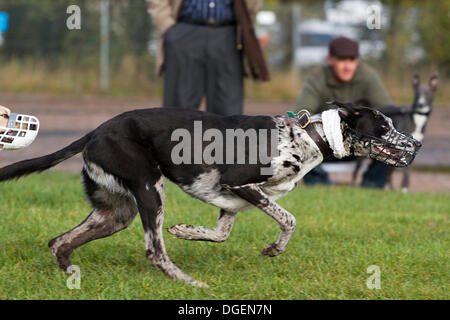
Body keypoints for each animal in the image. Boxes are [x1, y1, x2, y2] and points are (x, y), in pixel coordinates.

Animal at [0, 101, 422, 286]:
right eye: (384, 127)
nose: (417, 143)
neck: (306, 137)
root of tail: (94, 131)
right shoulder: (241, 184)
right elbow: (288, 219)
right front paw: (275, 248)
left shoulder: (230, 200)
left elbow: (220, 234)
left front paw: (188, 231)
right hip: (150, 190)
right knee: (154, 251)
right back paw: (189, 283)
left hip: (115, 214)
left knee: (59, 241)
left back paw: (70, 274)